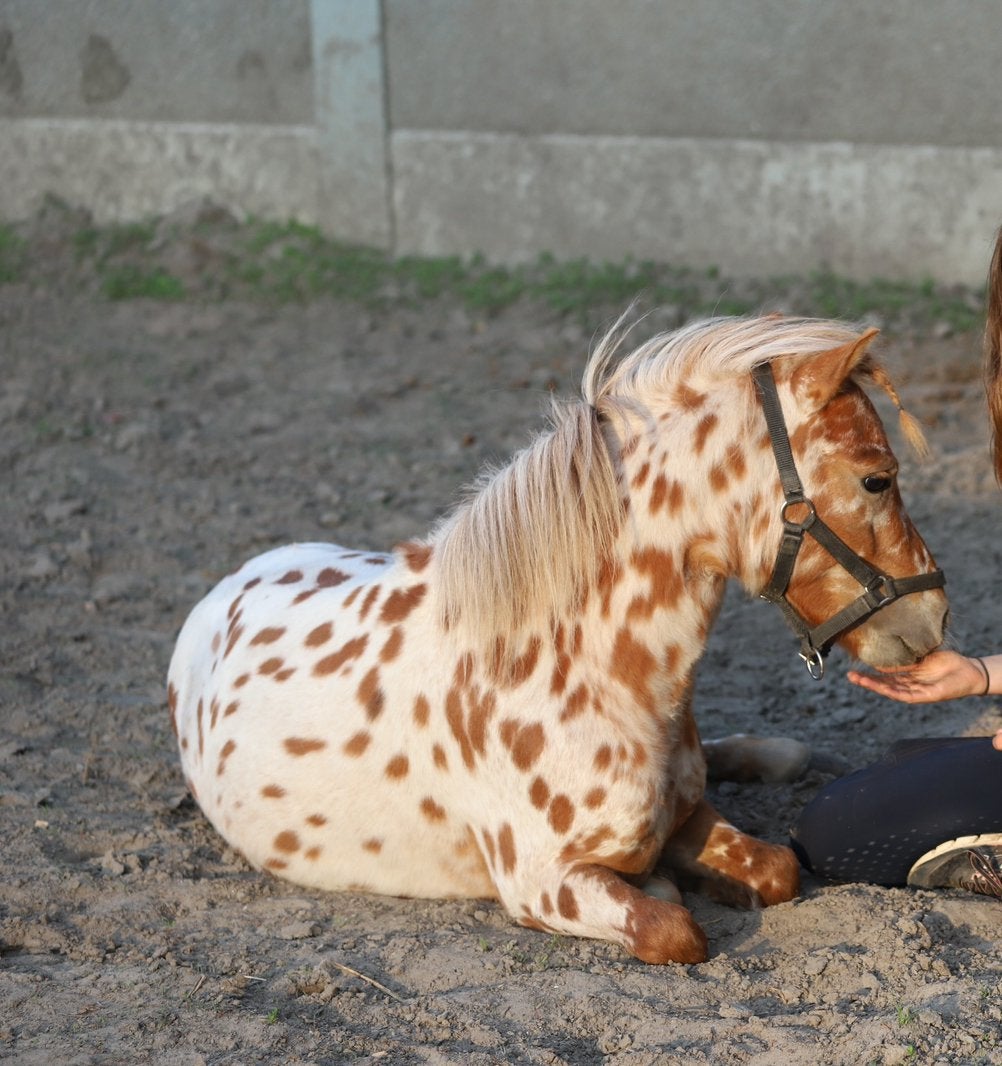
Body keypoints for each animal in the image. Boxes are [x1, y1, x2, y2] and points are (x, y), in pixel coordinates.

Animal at [167, 314, 948, 964]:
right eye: (876, 479)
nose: (934, 619)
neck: (572, 668)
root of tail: (224, 587)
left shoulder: (686, 815)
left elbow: (779, 869)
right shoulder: (544, 882)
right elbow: (673, 928)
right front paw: (665, 889)